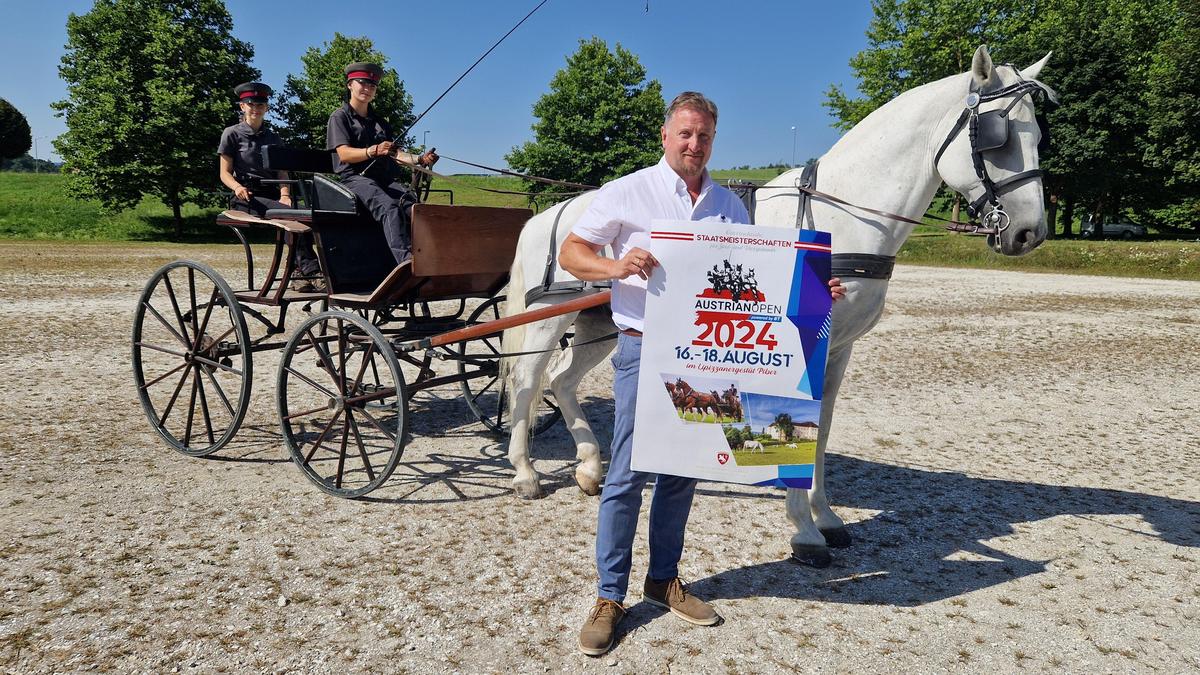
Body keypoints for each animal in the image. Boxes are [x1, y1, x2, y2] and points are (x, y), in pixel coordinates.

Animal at [501, 45, 1056, 562]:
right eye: (997, 135)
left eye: (1037, 136)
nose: (1030, 233)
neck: (840, 217)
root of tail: (552, 212)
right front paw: (805, 530)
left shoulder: (840, 349)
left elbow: (822, 426)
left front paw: (825, 515)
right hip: (548, 320)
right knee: (529, 382)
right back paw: (525, 472)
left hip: (598, 322)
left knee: (562, 381)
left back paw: (591, 467)